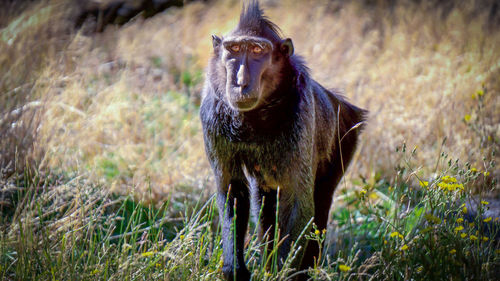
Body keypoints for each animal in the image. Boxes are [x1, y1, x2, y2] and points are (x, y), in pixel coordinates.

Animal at [199, 1, 368, 278]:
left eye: (257, 50)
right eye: (234, 49)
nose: (240, 82)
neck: (252, 119)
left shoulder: (300, 112)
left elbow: (300, 201)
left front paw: (283, 272)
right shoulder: (211, 114)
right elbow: (232, 190)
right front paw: (235, 269)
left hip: (345, 138)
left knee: (320, 204)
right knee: (266, 208)